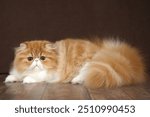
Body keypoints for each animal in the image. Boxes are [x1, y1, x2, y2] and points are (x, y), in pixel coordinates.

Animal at [4, 38, 145, 88]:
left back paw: (76, 80)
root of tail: (102, 50)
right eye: (30, 59)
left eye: (43, 58)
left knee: (85, 75)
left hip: (88, 65)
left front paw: (27, 79)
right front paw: (11, 78)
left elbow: (34, 77)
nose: (37, 60)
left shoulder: (48, 74)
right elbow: (16, 75)